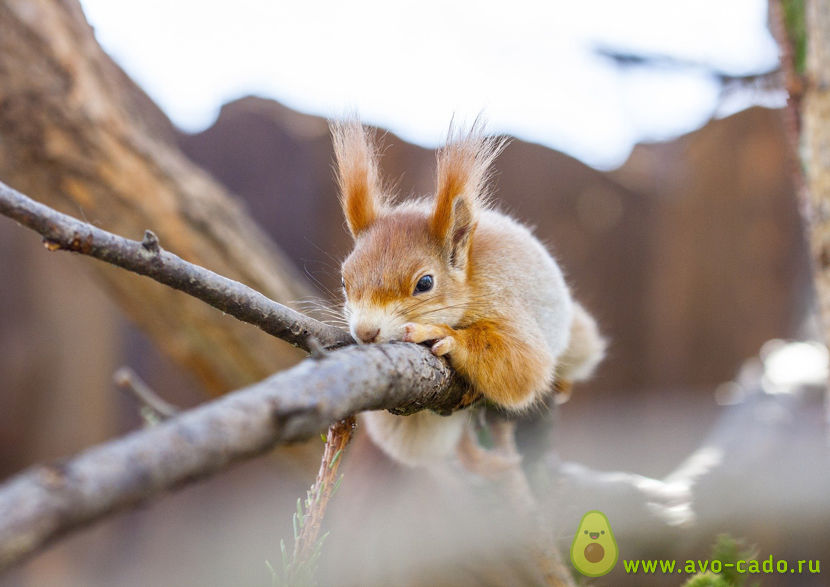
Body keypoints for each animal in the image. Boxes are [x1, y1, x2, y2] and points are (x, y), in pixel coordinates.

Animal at [330, 119, 604, 468]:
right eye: (343, 281)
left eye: (425, 283)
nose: (365, 332)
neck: (470, 281)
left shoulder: (503, 296)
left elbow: (524, 364)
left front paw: (443, 335)